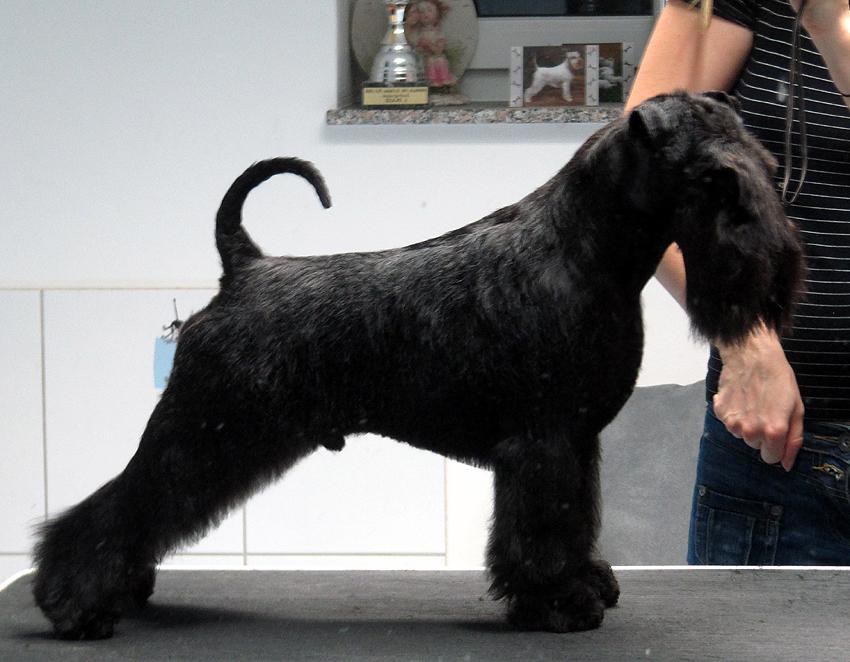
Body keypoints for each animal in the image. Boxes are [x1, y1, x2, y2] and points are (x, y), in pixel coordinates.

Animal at [32, 91, 804, 640]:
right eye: (716, 179)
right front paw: (557, 602)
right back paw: (75, 604)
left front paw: (585, 581)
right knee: (119, 504)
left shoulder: (576, 442)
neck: (586, 248)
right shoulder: (543, 441)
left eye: (765, 168)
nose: (779, 265)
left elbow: (574, 518)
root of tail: (242, 267)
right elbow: (539, 529)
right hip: (206, 431)